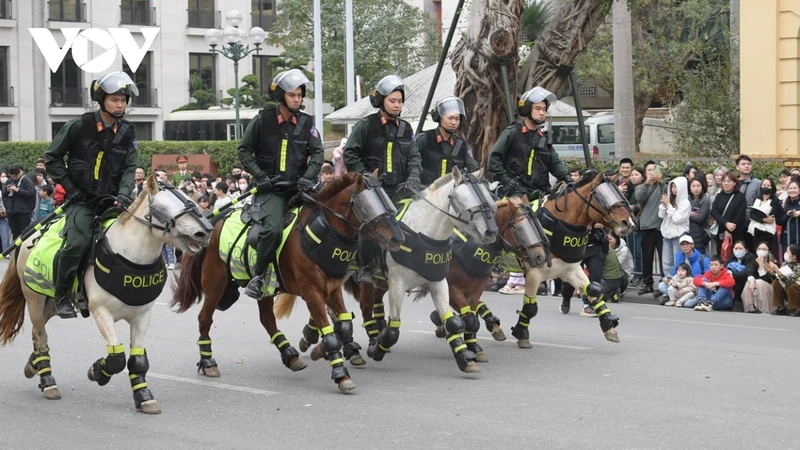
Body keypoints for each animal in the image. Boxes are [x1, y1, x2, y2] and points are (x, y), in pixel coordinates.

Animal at [0, 174, 212, 414]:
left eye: (191, 199)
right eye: (163, 207)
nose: (204, 232)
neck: (128, 255)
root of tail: (30, 232)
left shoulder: (142, 316)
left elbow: (138, 360)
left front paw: (144, 396)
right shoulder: (101, 312)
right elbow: (117, 359)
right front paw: (97, 371)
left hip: (51, 302)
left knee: (39, 331)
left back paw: (33, 365)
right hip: (34, 298)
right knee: (40, 333)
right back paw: (47, 381)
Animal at [171, 171, 404, 392]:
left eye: (386, 200)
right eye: (369, 205)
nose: (397, 238)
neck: (321, 234)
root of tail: (216, 220)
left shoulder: (332, 289)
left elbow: (344, 325)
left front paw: (324, 350)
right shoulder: (312, 293)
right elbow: (330, 335)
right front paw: (340, 374)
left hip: (264, 288)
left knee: (267, 319)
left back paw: (289, 355)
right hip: (215, 283)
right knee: (204, 319)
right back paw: (208, 362)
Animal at [344, 167, 500, 374]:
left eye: (490, 201)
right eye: (464, 200)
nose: (491, 232)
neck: (425, 235)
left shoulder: (438, 283)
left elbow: (453, 322)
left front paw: (465, 359)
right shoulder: (397, 285)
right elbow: (394, 328)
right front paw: (377, 350)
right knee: (365, 308)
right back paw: (368, 343)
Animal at [428, 195, 552, 360]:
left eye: (535, 225)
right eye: (519, 228)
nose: (540, 257)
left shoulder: (476, 288)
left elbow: (471, 316)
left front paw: (474, 346)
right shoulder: (452, 287)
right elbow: (468, 317)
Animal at [506, 170, 636, 348]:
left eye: (621, 194)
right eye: (603, 197)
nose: (629, 223)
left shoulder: (571, 269)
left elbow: (593, 290)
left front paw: (608, 325)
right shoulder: (534, 273)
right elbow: (530, 308)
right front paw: (521, 332)